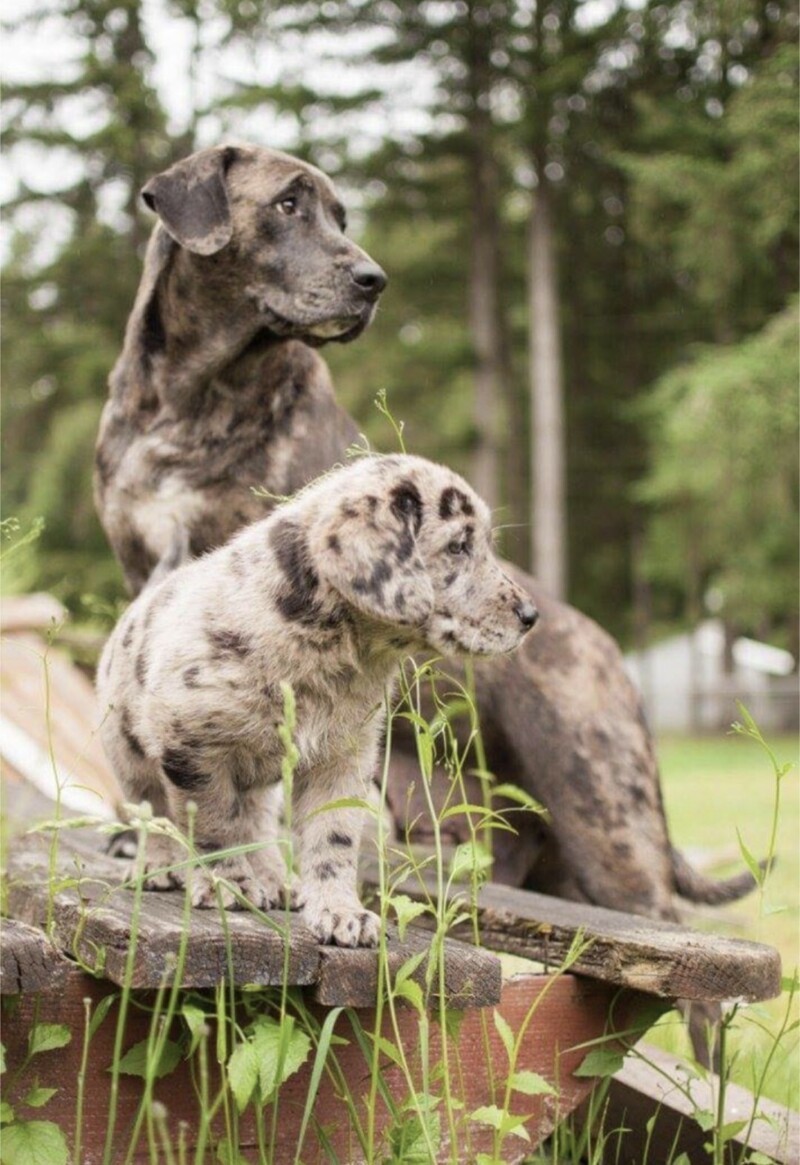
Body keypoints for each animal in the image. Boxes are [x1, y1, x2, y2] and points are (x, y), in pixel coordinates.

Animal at [98, 454, 537, 945]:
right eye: (459, 546)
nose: (530, 616)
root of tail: (145, 598)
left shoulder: (344, 758)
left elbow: (333, 838)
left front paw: (341, 913)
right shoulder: (192, 745)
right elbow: (212, 826)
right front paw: (226, 885)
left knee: (256, 821)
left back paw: (275, 880)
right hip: (128, 751)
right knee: (152, 810)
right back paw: (158, 868)